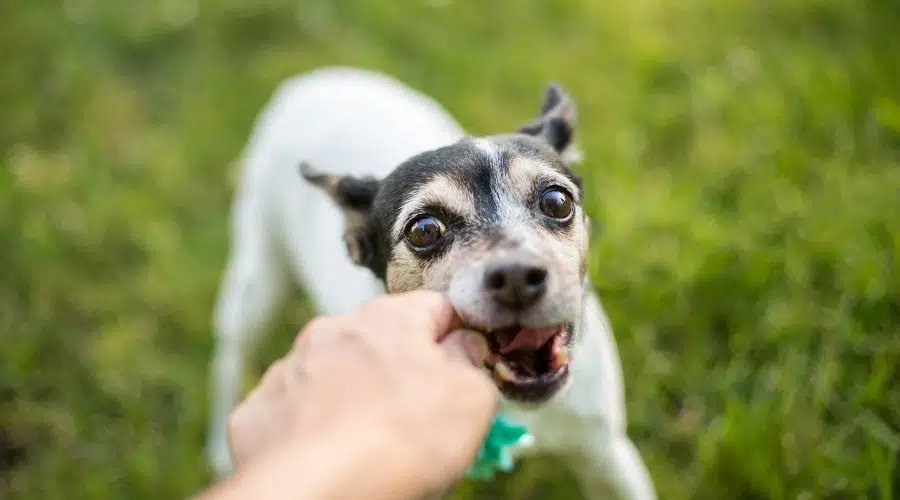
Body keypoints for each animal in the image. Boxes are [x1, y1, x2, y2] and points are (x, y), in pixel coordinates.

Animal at [207, 67, 656, 500]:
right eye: (424, 230)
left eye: (557, 202)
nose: (515, 275)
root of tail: (307, 83)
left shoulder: (608, 455)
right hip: (258, 283)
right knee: (231, 353)